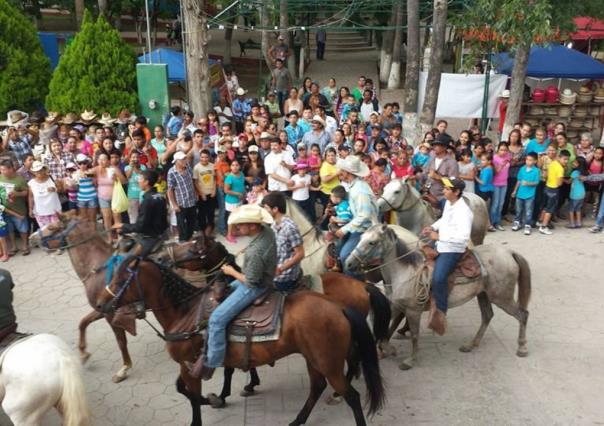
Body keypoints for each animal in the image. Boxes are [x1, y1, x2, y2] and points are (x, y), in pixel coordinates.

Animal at [96, 258, 384, 426]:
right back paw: (297, 420)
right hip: (315, 358)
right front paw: (218, 398)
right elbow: (184, 389)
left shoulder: (191, 365)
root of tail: (339, 307)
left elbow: (193, 396)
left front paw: (213, 399)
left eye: (120, 280)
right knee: (317, 387)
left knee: (351, 395)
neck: (185, 313)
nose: (99, 304)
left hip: (327, 361)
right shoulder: (188, 364)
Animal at [346, 225, 532, 372]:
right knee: (487, 316)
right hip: (484, 295)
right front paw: (388, 349)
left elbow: (414, 335)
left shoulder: (413, 311)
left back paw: (522, 347)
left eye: (372, 242)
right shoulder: (395, 306)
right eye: (360, 238)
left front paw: (409, 360)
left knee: (522, 315)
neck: (404, 272)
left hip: (501, 297)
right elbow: (383, 328)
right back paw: (471, 345)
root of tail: (508, 252)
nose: (348, 263)